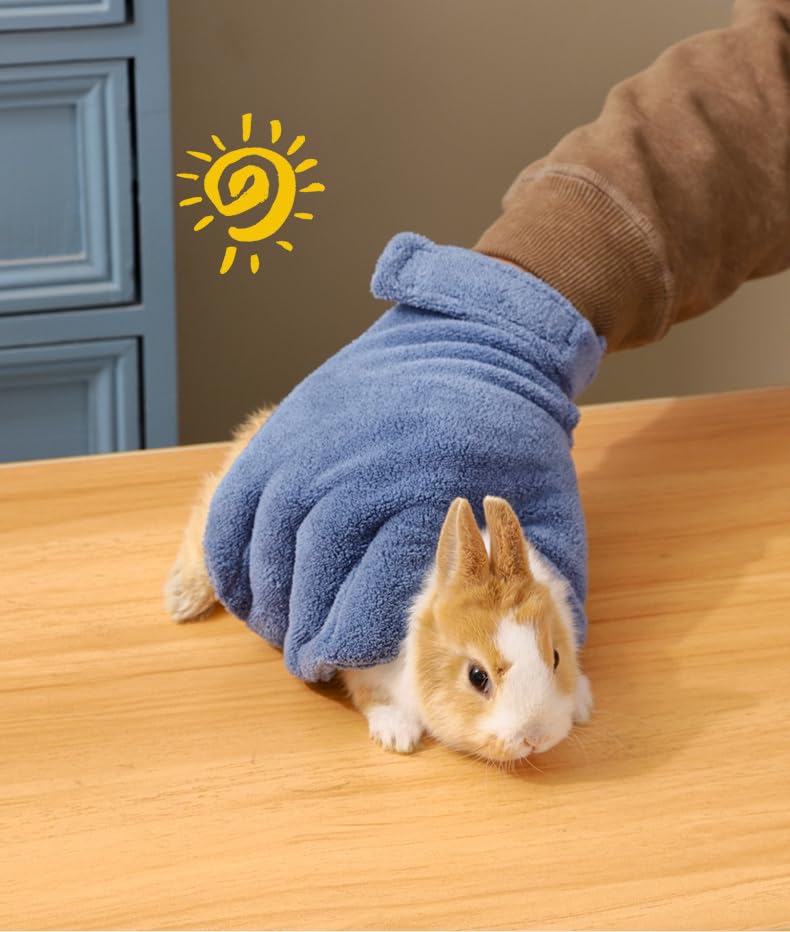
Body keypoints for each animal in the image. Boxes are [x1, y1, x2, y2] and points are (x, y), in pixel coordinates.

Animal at [164, 406, 593, 762]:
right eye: (477, 677)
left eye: (556, 657)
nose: (536, 737)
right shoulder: (360, 658)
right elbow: (371, 696)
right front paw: (398, 735)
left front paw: (583, 703)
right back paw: (182, 600)